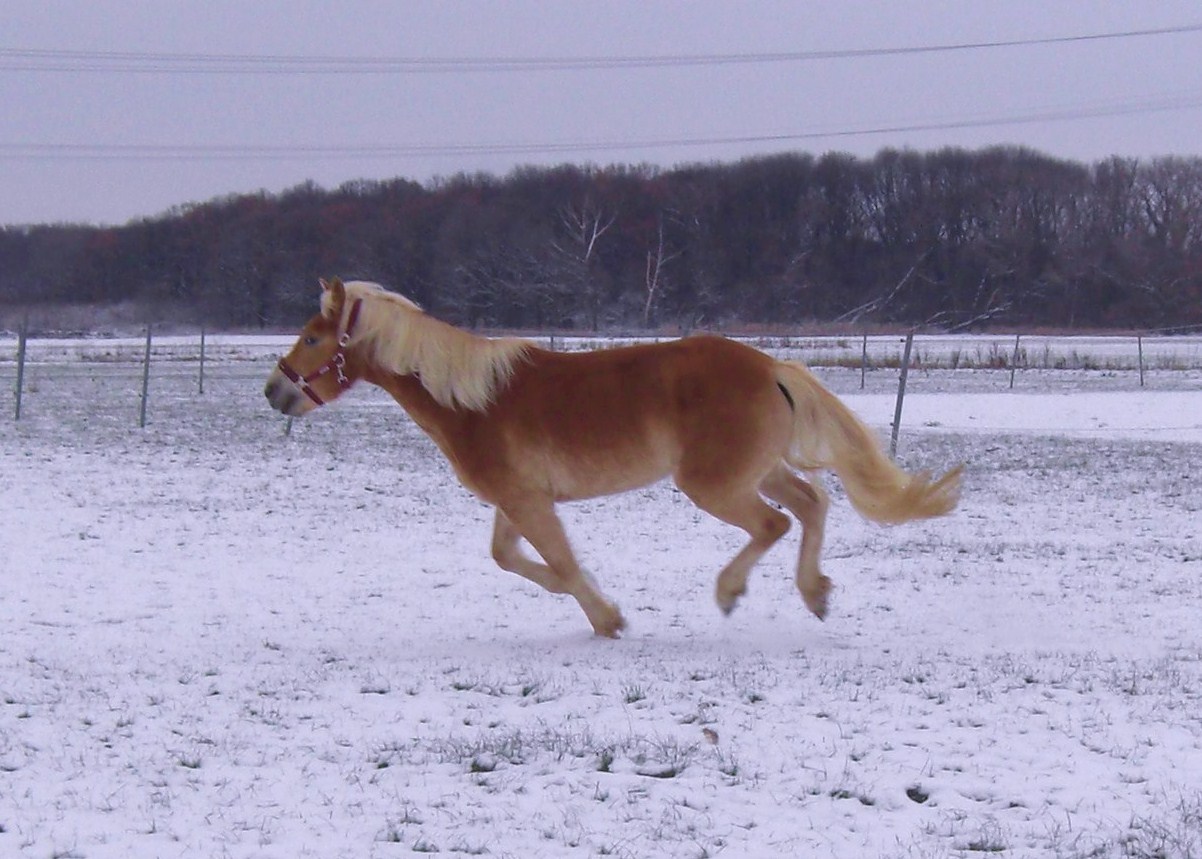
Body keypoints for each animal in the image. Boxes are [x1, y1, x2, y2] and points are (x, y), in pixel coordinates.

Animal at [268, 278, 961, 634]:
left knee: (776, 523)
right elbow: (512, 560)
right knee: (812, 506)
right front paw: (601, 605)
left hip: (715, 484)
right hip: (759, 470)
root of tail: (770, 367)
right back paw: (815, 594)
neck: (474, 401)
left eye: (312, 337)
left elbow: (561, 564)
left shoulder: (526, 502)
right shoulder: (517, 502)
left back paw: (731, 592)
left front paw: (609, 618)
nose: (275, 391)